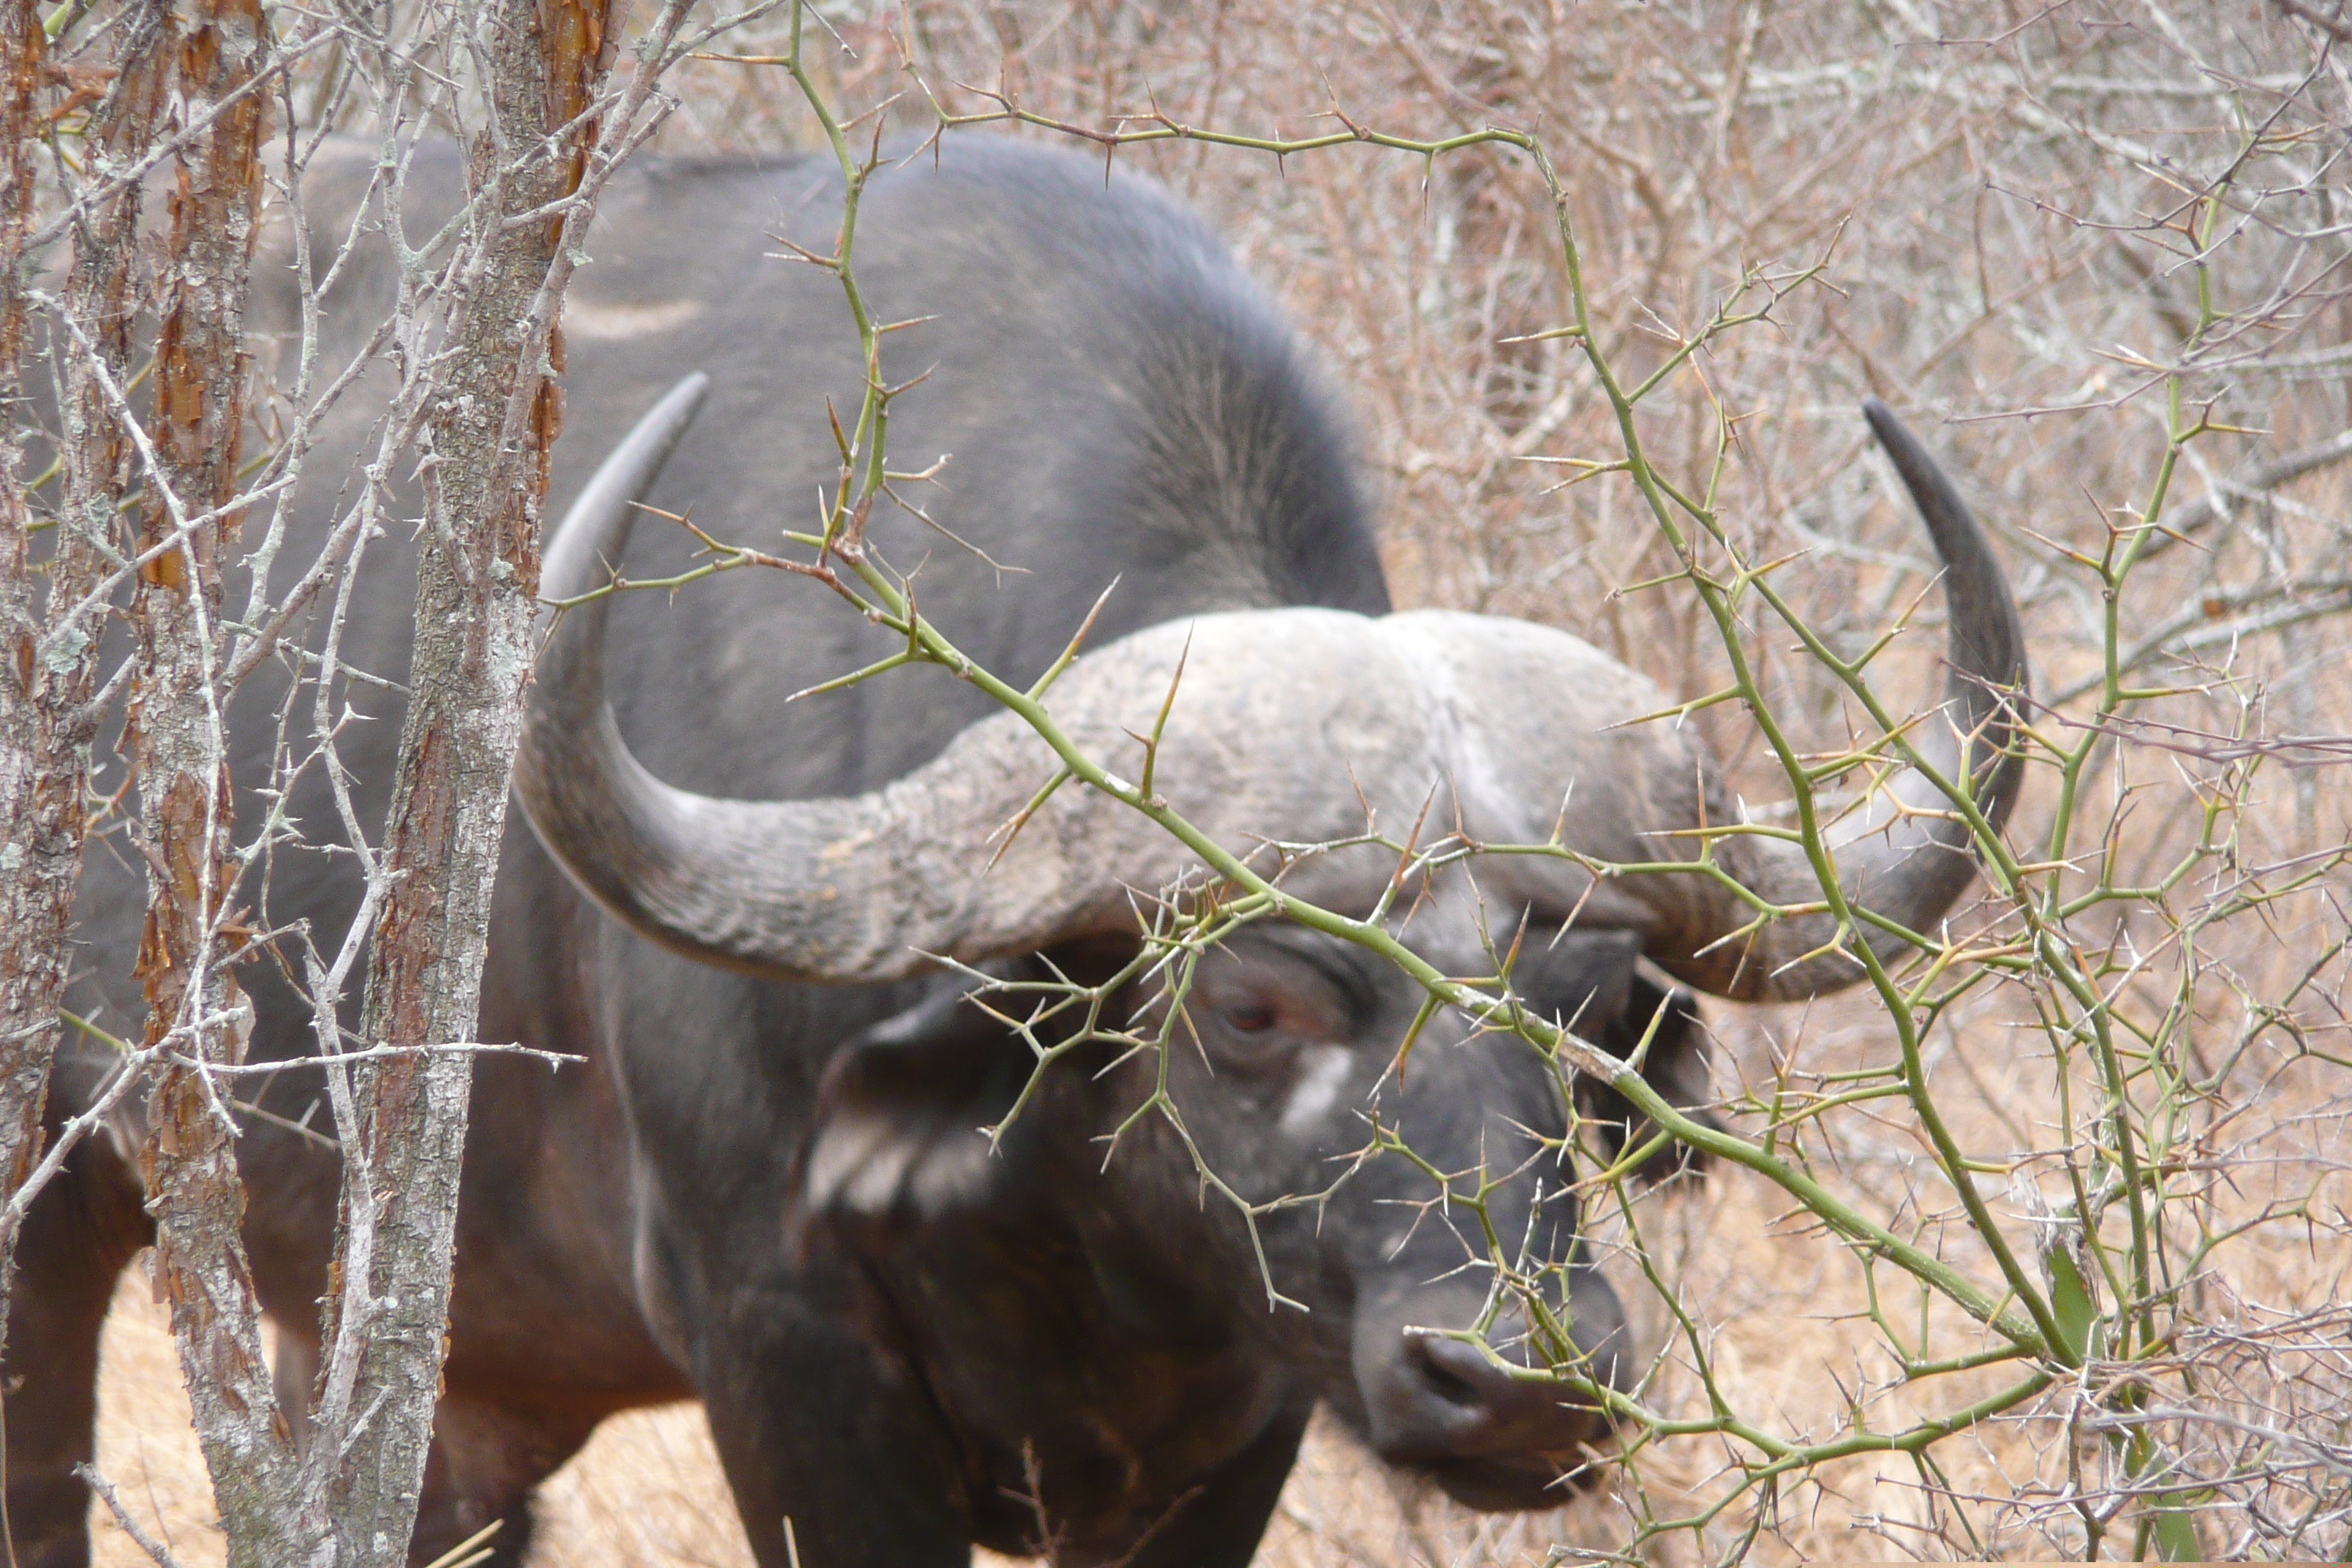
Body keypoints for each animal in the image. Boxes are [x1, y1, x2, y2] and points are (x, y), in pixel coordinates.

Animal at [9, 137, 2022, 1568]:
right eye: (1255, 1007)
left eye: (1594, 1012)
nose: (1515, 1381)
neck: (1062, 1216)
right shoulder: (785, 1359)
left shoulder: (1243, 1410)